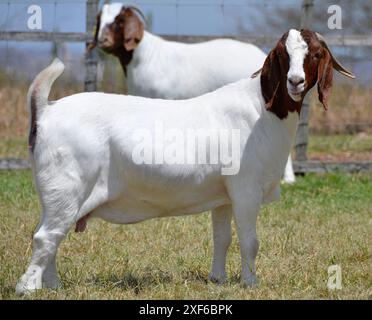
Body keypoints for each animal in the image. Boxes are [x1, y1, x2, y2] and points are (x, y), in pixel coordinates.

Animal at [16, 28, 354, 294]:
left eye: (315, 54)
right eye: (284, 54)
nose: (295, 81)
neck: (262, 109)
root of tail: (46, 110)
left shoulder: (224, 196)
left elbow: (222, 238)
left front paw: (218, 279)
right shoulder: (246, 189)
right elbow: (249, 240)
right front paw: (250, 283)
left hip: (55, 195)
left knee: (50, 235)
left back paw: (53, 286)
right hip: (67, 187)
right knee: (46, 237)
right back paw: (29, 288)